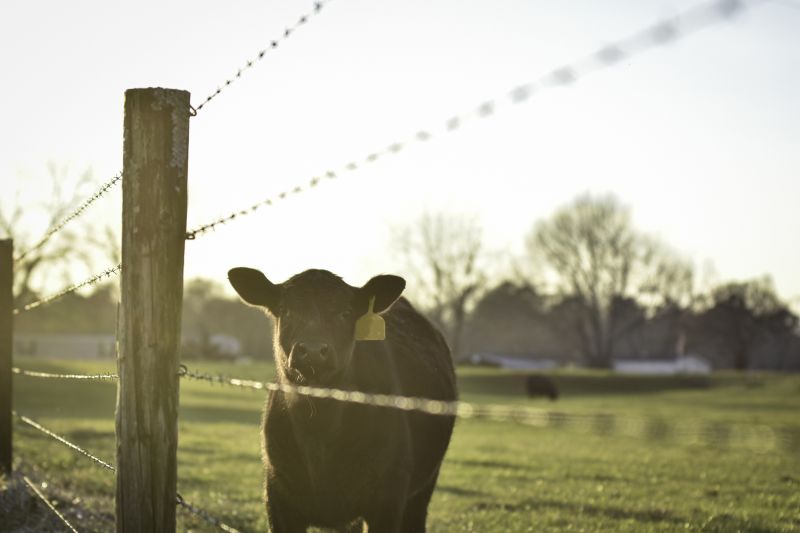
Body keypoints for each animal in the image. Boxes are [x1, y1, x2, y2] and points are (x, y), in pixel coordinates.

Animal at [228, 267, 458, 532]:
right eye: (286, 310)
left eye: (345, 313)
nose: (313, 350)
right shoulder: (278, 494)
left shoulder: (389, 496)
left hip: (422, 489)